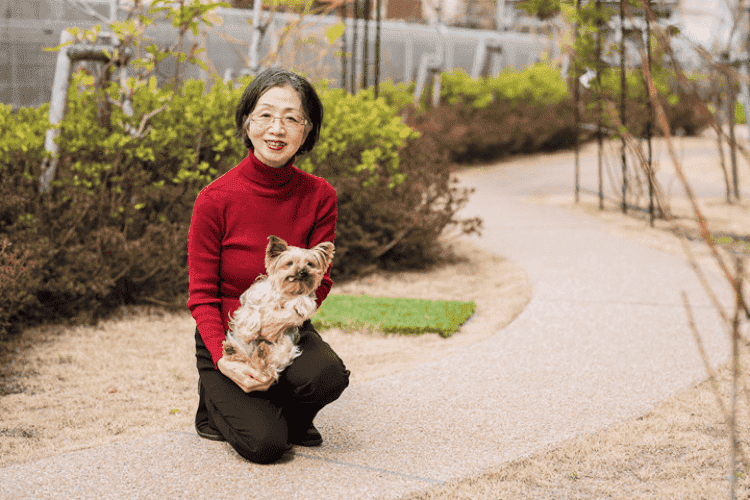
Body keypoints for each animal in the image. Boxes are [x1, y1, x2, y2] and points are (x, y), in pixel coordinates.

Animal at [217, 236, 334, 392]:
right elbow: (251, 312)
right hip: (246, 345)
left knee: (266, 365)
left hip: (285, 346)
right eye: (289, 263)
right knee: (246, 358)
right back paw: (233, 350)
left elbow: (304, 299)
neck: (283, 293)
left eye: (310, 264)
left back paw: (260, 355)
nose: (303, 272)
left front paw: (300, 304)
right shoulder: (251, 301)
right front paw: (248, 332)